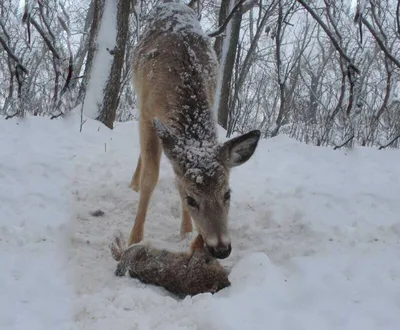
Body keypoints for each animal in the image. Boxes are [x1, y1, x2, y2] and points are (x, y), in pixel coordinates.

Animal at [126, 0, 260, 260]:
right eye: (192, 199)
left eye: (227, 194)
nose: (221, 249)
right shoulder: (147, 113)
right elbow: (151, 177)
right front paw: (134, 239)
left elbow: (176, 177)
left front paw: (186, 233)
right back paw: (133, 185)